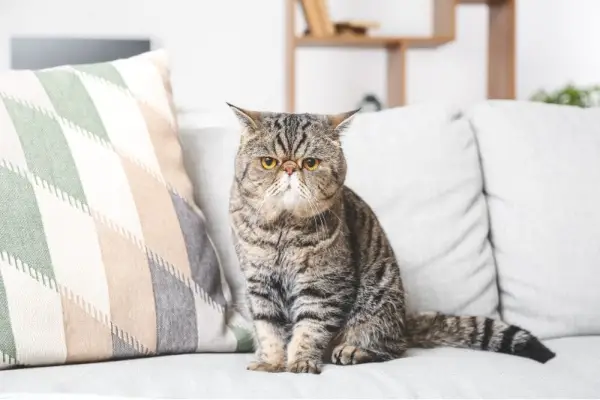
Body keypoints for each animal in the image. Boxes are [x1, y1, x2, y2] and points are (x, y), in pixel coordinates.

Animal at [227, 104, 556, 376]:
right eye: (268, 162)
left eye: (310, 163)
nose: (289, 168)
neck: (282, 229)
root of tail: (405, 323)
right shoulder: (259, 284)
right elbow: (268, 328)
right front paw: (271, 361)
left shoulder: (324, 286)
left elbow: (309, 329)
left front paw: (300, 361)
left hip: (377, 306)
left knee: (391, 348)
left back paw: (353, 350)